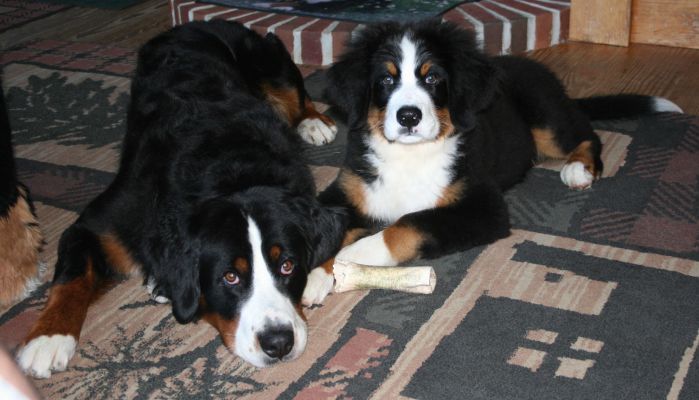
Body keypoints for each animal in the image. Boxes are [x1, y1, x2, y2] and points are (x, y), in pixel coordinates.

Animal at [302, 20, 684, 304]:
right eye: (385, 79)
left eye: (432, 77)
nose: (408, 116)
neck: (409, 155)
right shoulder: (347, 192)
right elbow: (325, 231)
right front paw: (314, 277)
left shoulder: (483, 207)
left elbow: (409, 223)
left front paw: (357, 252)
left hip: (544, 116)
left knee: (586, 134)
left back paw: (578, 169)